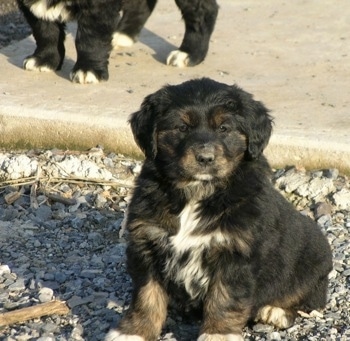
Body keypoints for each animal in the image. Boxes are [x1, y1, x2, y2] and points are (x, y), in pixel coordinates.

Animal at [17, 0, 219, 83]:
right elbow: (45, 29)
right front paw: (45, 59)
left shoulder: (98, 7)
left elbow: (90, 39)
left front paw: (88, 70)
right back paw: (123, 34)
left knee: (203, 10)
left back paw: (190, 53)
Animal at [106, 77, 330, 340]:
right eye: (182, 128)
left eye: (223, 128)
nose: (205, 158)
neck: (198, 192)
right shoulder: (146, 242)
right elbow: (146, 295)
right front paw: (134, 332)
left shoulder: (235, 252)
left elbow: (224, 298)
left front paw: (218, 334)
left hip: (312, 266)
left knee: (307, 300)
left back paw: (274, 311)